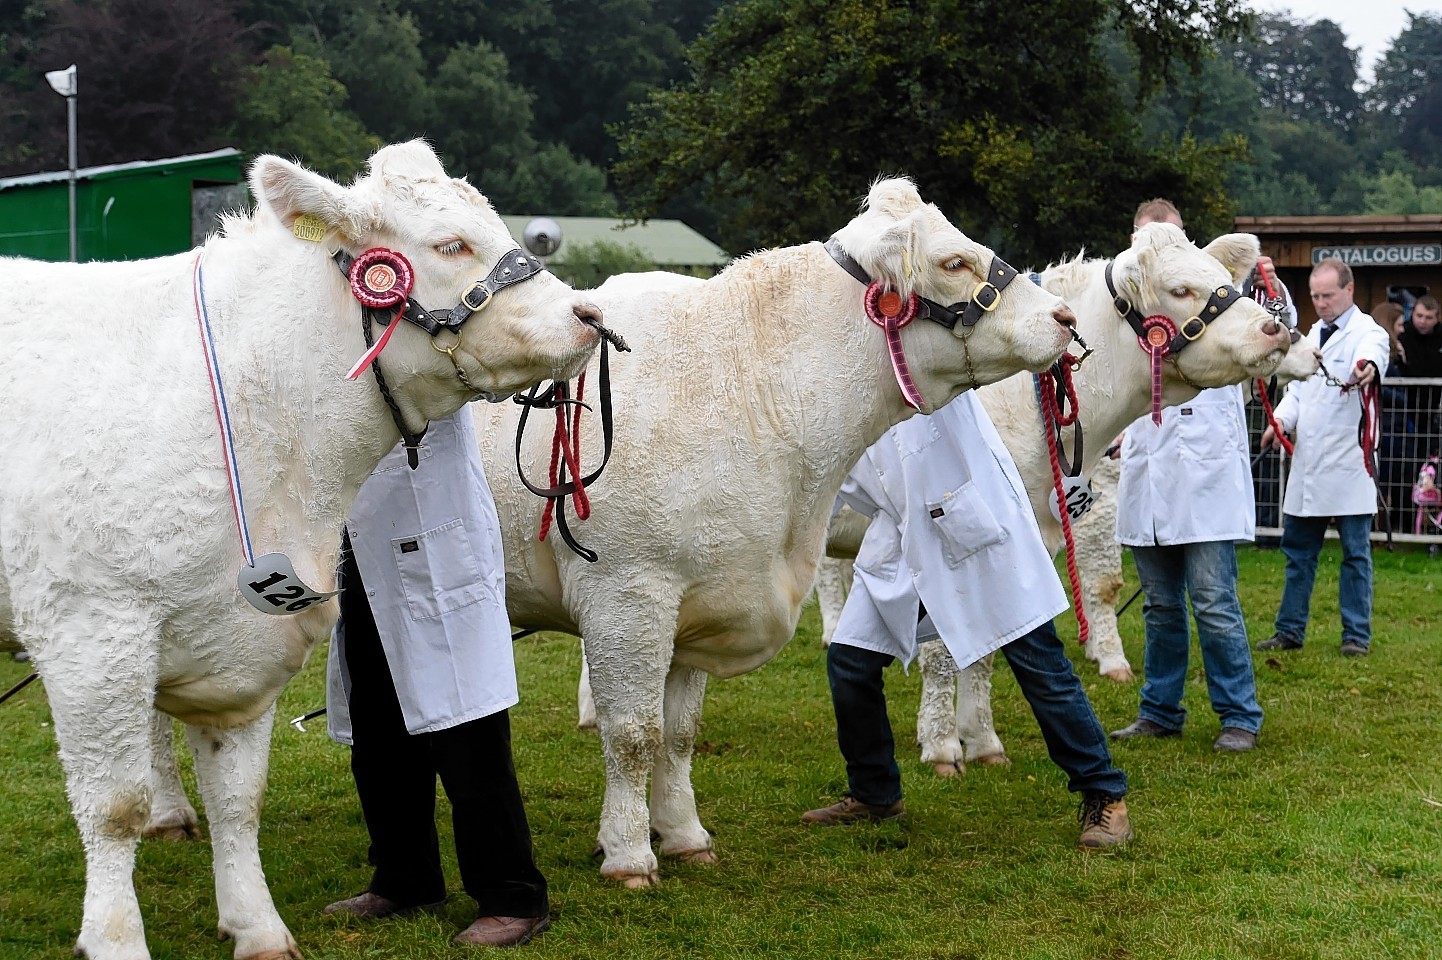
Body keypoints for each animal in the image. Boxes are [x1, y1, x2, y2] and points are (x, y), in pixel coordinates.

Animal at [0, 140, 596, 957]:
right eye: (449, 245)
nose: (589, 315)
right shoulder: (91, 632)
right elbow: (113, 807)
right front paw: (116, 940)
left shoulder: (244, 639)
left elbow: (239, 798)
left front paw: (257, 927)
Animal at [478, 177, 1078, 882]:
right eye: (954, 262)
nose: (1065, 318)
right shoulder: (629, 595)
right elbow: (633, 734)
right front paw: (628, 853)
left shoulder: (702, 597)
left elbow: (678, 735)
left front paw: (684, 835)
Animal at [819, 221, 1315, 772]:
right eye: (1181, 290)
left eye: (1225, 281)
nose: (1277, 330)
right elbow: (947, 650)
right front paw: (944, 745)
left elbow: (992, 645)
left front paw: (983, 740)